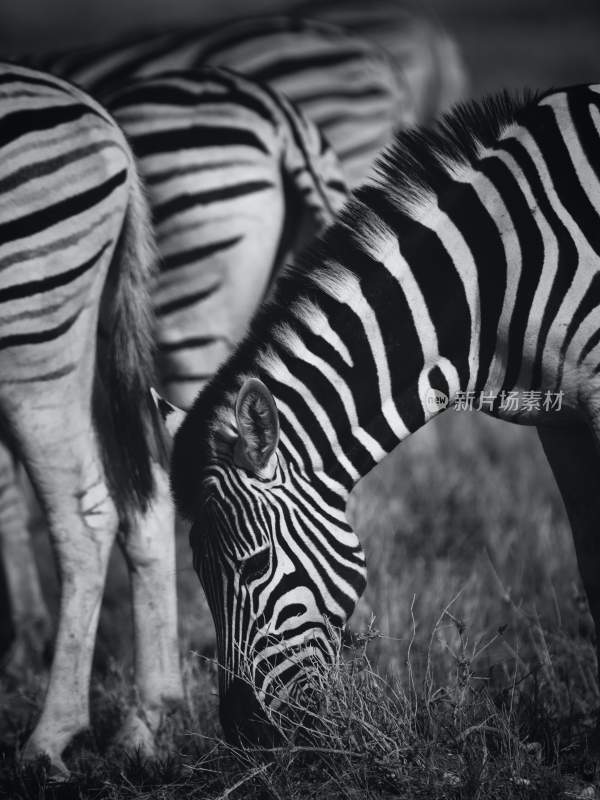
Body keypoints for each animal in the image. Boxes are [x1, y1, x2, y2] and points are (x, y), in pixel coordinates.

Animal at [0, 64, 183, 776]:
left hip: (31, 335)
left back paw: (49, 739)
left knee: (85, 519)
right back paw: (146, 725)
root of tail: (97, 113)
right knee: (149, 492)